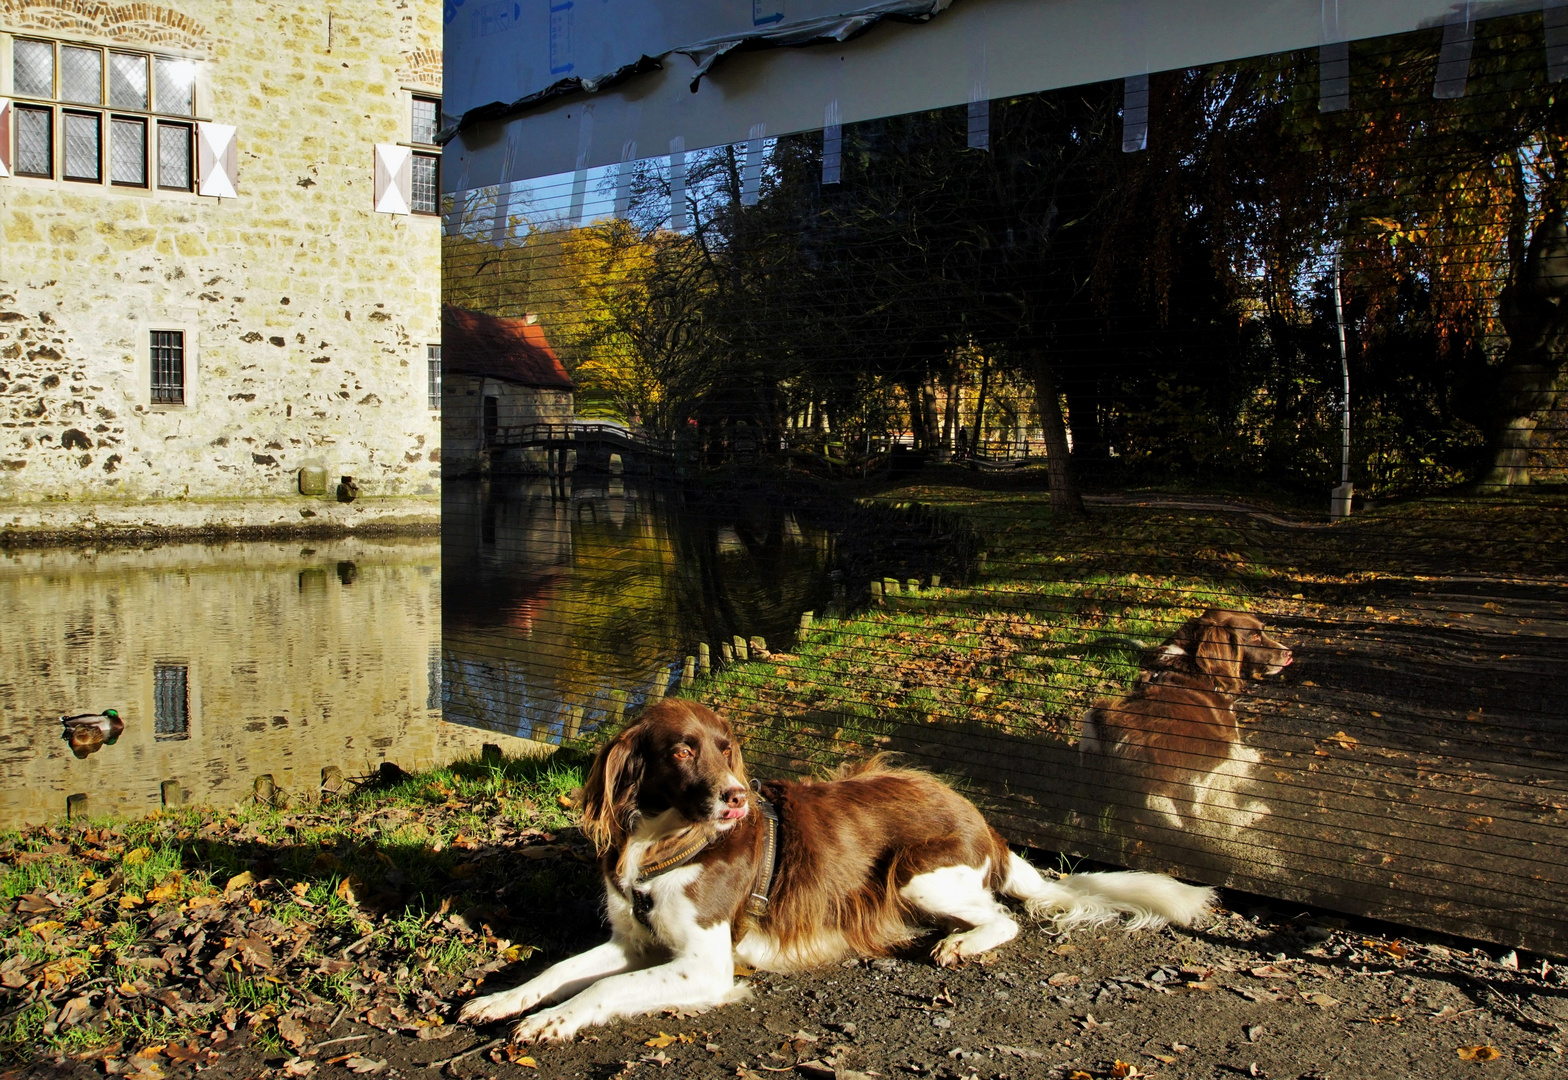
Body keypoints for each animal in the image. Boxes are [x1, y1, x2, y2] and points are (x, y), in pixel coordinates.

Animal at [457, 699, 1216, 1047]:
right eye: (680, 750)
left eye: (726, 747)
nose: (736, 797)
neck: (669, 840)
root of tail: (989, 827)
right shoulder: (633, 941)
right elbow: (560, 970)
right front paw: (503, 1001)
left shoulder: (704, 964)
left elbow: (600, 990)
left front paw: (552, 1023)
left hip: (916, 873)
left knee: (1004, 917)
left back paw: (960, 943)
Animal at [1085, 611, 1292, 827]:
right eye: (1255, 637)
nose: (1289, 654)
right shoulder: (1230, 735)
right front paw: (1253, 756)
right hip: (1215, 754)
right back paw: (1256, 811)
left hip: (1096, 714)